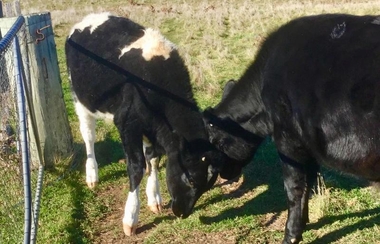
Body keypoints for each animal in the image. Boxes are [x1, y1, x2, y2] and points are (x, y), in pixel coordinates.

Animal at [65, 12, 227, 236]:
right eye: (192, 179)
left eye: (208, 186)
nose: (182, 213)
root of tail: (90, 17)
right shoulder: (127, 124)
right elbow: (137, 167)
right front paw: (130, 218)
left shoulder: (153, 128)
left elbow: (153, 160)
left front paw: (154, 199)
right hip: (80, 99)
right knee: (88, 136)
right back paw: (92, 174)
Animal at [205, 13, 380, 244]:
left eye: (216, 140)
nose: (223, 175)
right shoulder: (308, 145)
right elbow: (309, 181)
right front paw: (304, 222)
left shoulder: (288, 140)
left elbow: (293, 188)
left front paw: (291, 236)